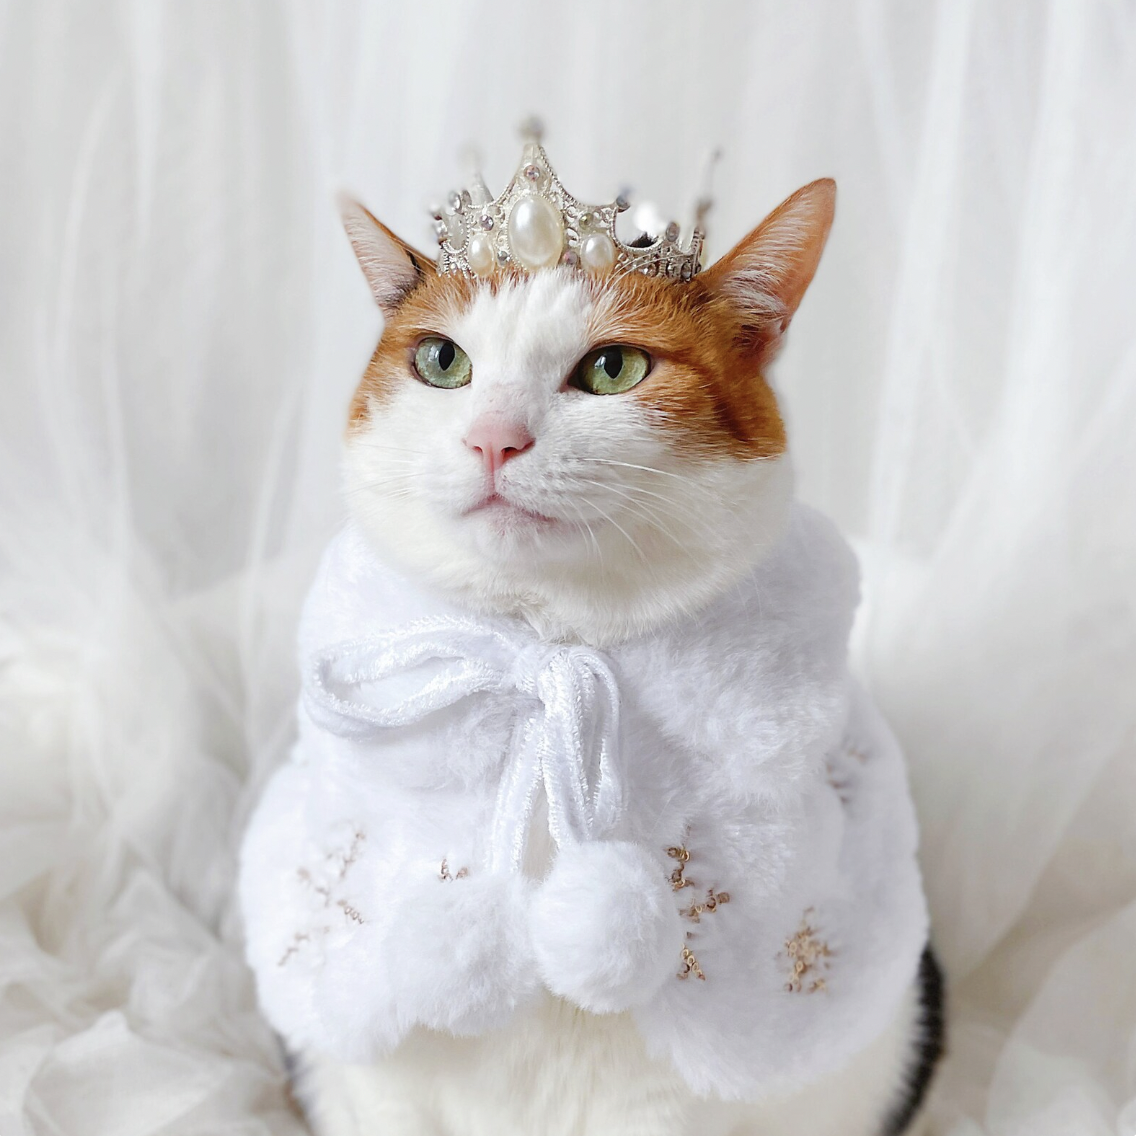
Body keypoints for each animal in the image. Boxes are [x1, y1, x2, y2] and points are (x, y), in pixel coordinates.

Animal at [246, 172, 940, 1131]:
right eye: (442, 361)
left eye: (614, 370)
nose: (493, 437)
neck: (550, 648)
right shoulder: (382, 1092)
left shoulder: (668, 1107)